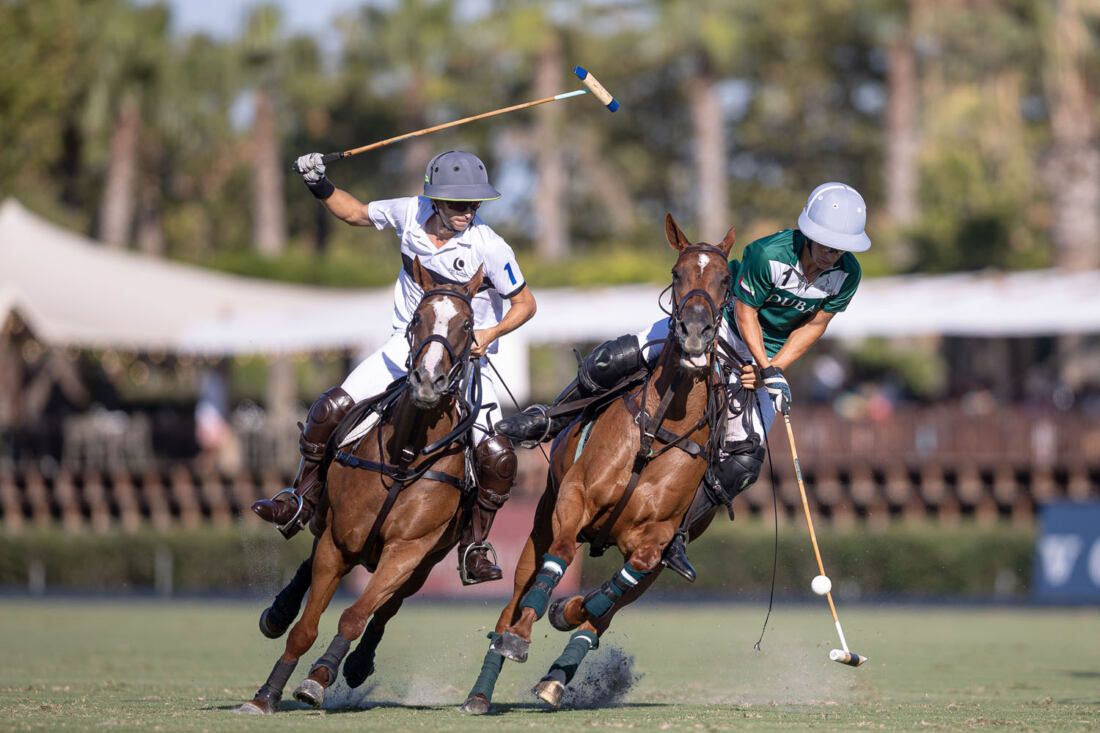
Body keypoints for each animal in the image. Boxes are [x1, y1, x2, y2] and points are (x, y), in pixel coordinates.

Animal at [238, 255, 484, 708]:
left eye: (467, 323)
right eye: (418, 318)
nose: (428, 382)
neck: (406, 453)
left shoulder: (408, 550)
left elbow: (357, 615)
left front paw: (320, 676)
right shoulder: (339, 540)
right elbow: (305, 626)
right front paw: (266, 694)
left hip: (426, 561)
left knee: (386, 609)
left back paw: (355, 664)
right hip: (326, 521)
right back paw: (277, 612)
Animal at [459, 211, 734, 708]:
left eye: (725, 279)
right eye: (676, 273)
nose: (695, 334)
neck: (656, 430)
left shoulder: (656, 542)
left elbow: (608, 595)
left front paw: (567, 613)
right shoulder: (574, 498)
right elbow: (560, 560)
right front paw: (527, 631)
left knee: (608, 606)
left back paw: (555, 675)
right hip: (540, 521)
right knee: (516, 596)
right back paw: (483, 688)